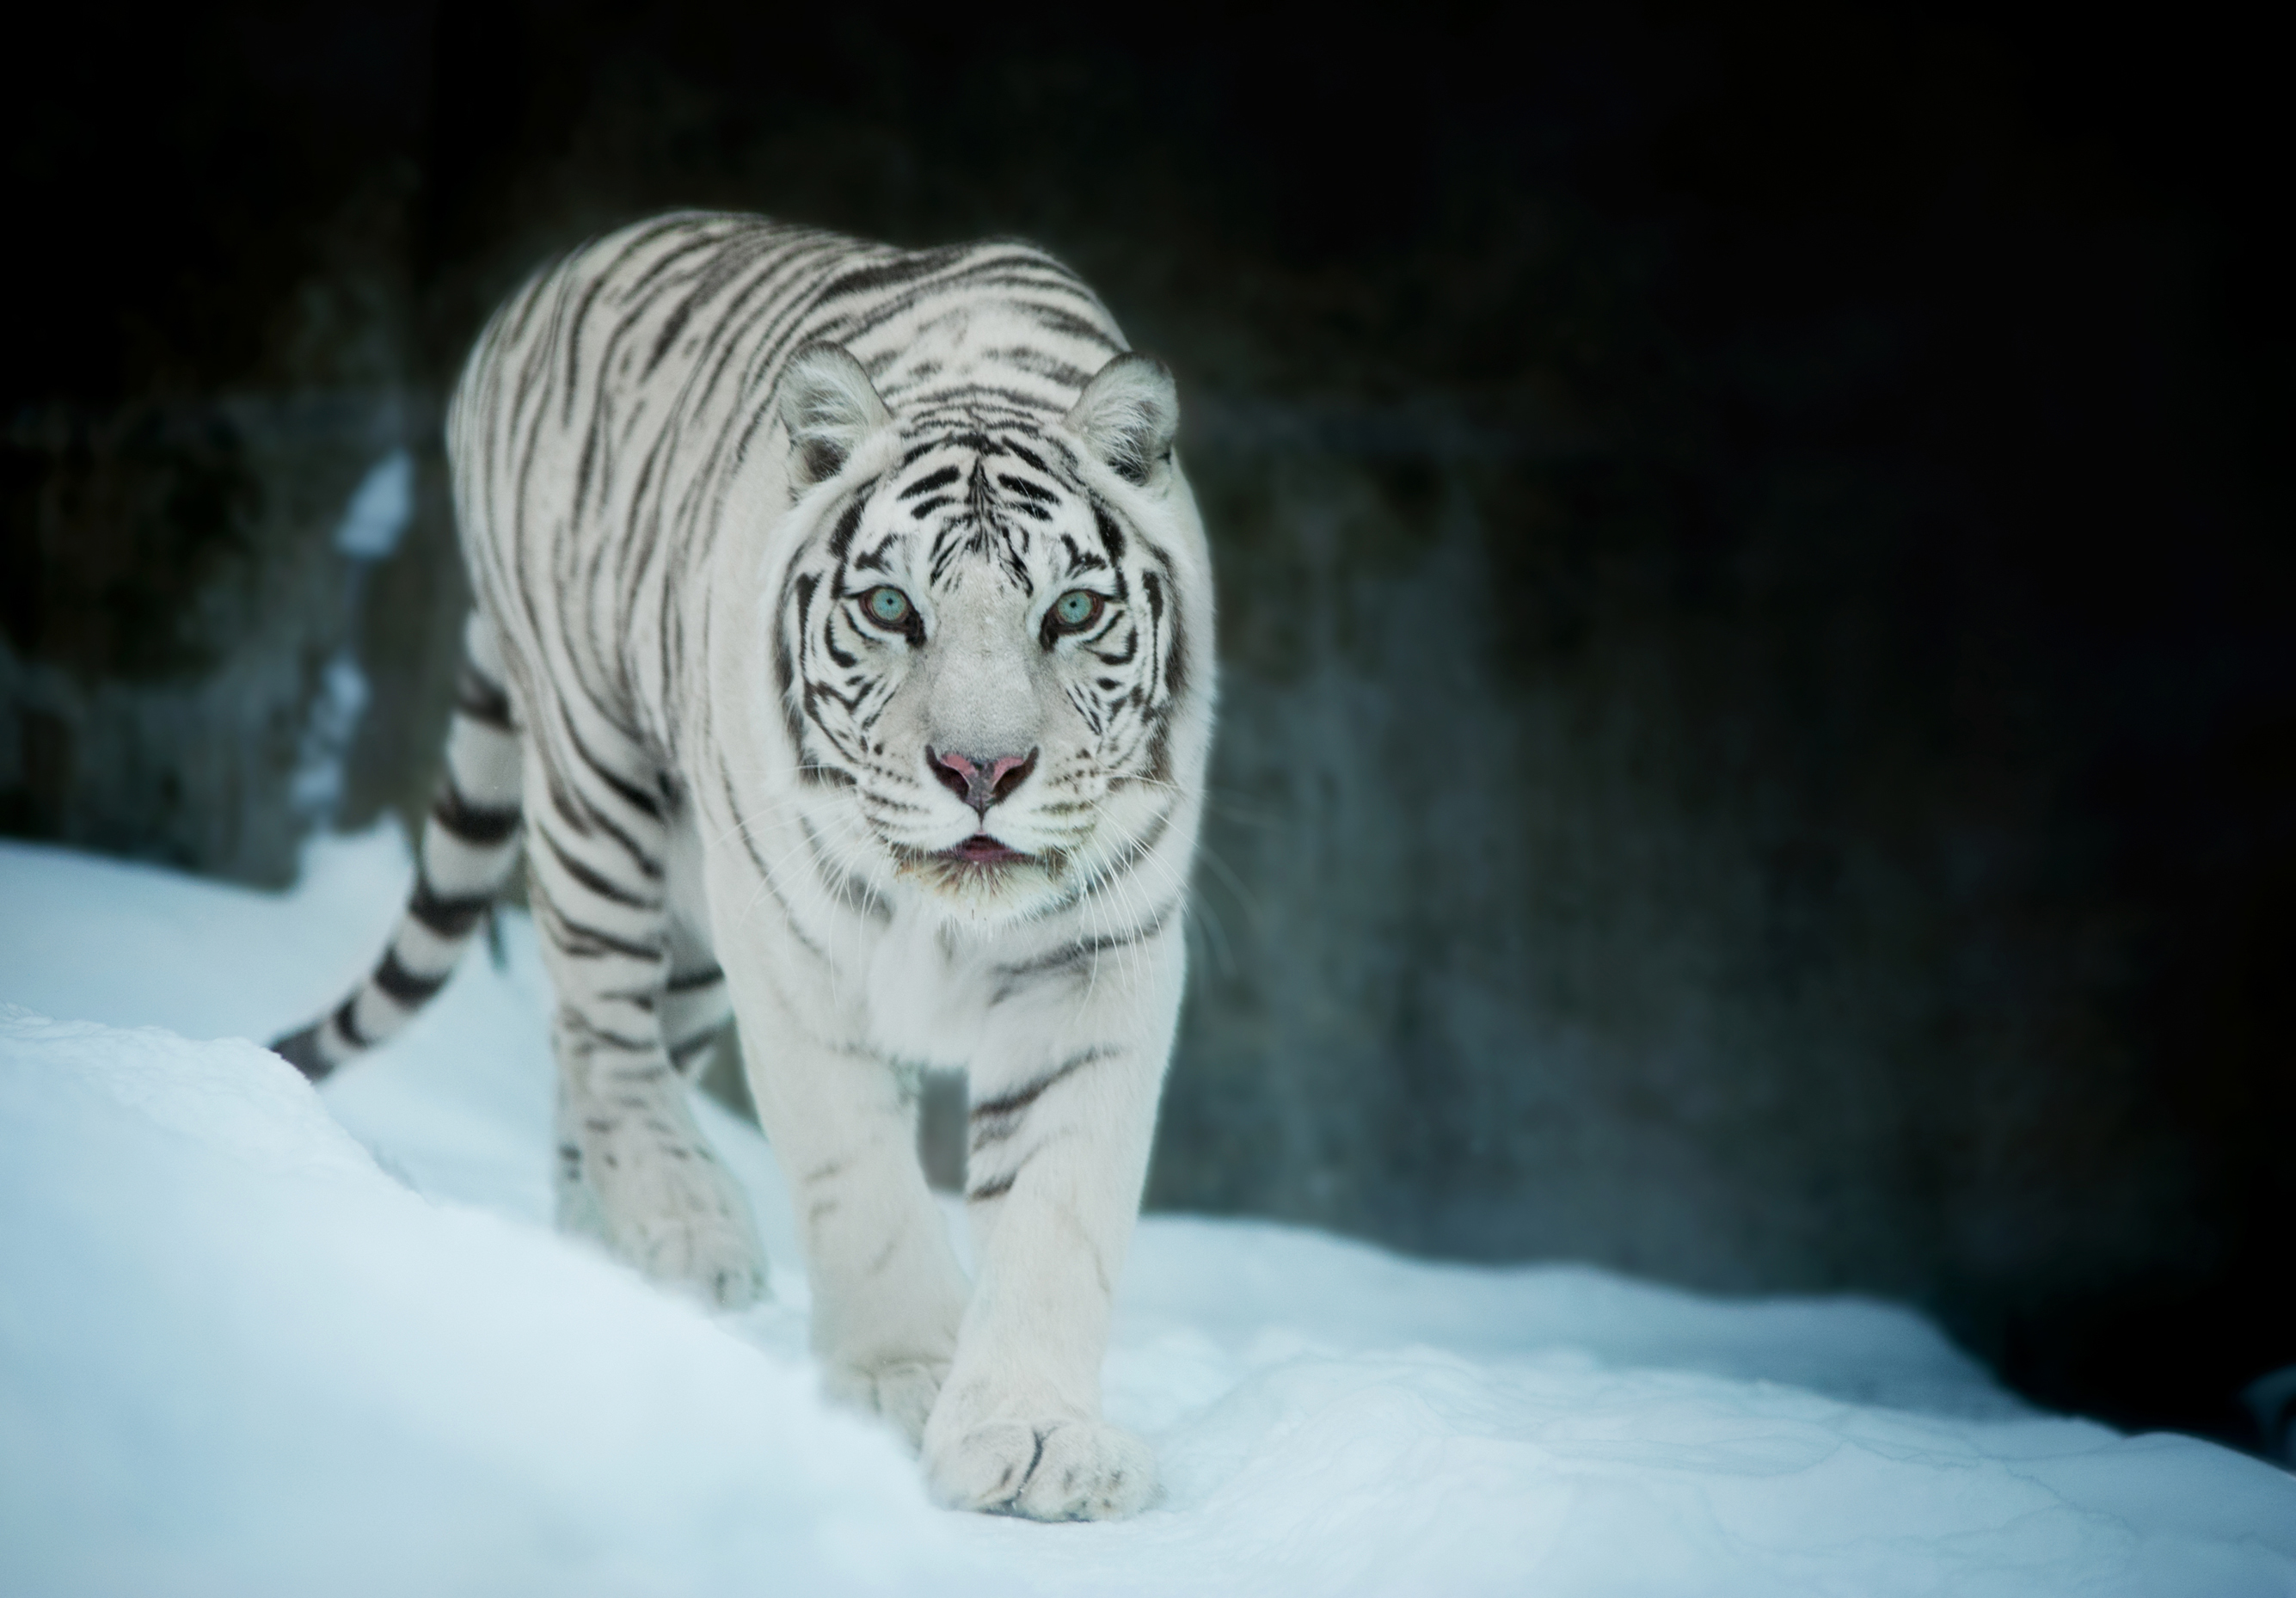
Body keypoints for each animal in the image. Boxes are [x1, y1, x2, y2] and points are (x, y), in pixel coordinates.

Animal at [273, 212, 1214, 1521]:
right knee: (598, 1028)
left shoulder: (1096, 956)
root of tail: (553, 271)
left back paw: (601, 1255)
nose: (981, 769)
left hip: (689, 922)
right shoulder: (790, 943)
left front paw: (1034, 1436)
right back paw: (685, 1227)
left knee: (603, 1056)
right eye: (890, 608)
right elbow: (858, 1179)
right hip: (602, 785)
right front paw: (902, 1379)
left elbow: (1056, 1207)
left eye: (1071, 613)